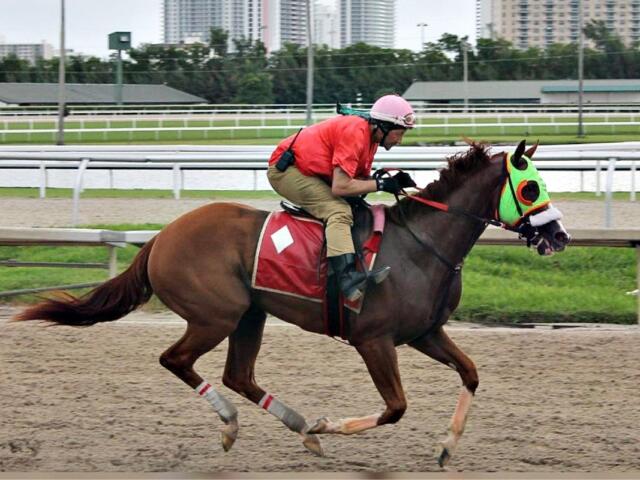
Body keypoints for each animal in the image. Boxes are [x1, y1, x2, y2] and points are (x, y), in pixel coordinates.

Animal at [14, 140, 570, 468]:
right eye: (530, 187)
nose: (560, 235)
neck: (420, 245)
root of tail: (161, 237)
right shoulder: (374, 340)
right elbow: (395, 407)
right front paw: (330, 424)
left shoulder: (425, 333)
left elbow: (471, 373)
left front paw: (447, 445)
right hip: (215, 314)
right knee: (177, 360)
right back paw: (240, 423)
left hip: (249, 314)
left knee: (239, 375)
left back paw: (294, 426)